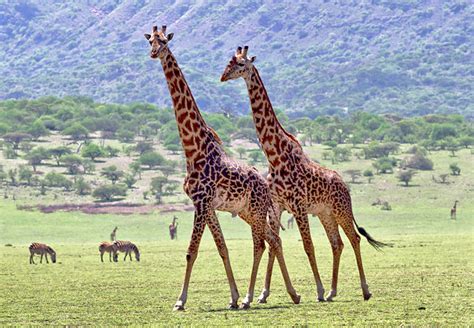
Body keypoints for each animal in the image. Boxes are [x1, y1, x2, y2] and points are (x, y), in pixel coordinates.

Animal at [144, 25, 300, 310]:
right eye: (150, 40)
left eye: (164, 41)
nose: (153, 53)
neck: (193, 149)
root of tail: (265, 185)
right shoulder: (208, 205)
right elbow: (222, 248)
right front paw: (234, 297)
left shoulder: (201, 201)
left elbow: (191, 251)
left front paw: (180, 301)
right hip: (247, 211)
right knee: (273, 239)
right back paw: (289, 294)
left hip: (257, 210)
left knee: (266, 242)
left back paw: (275, 295)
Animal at [220, 46, 390, 302]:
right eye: (228, 63)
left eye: (241, 64)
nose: (223, 77)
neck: (274, 155)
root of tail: (344, 184)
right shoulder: (277, 206)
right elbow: (275, 244)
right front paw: (263, 294)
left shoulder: (298, 206)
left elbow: (308, 246)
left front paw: (317, 290)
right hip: (325, 213)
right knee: (337, 243)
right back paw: (332, 291)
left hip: (341, 209)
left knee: (354, 239)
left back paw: (364, 290)